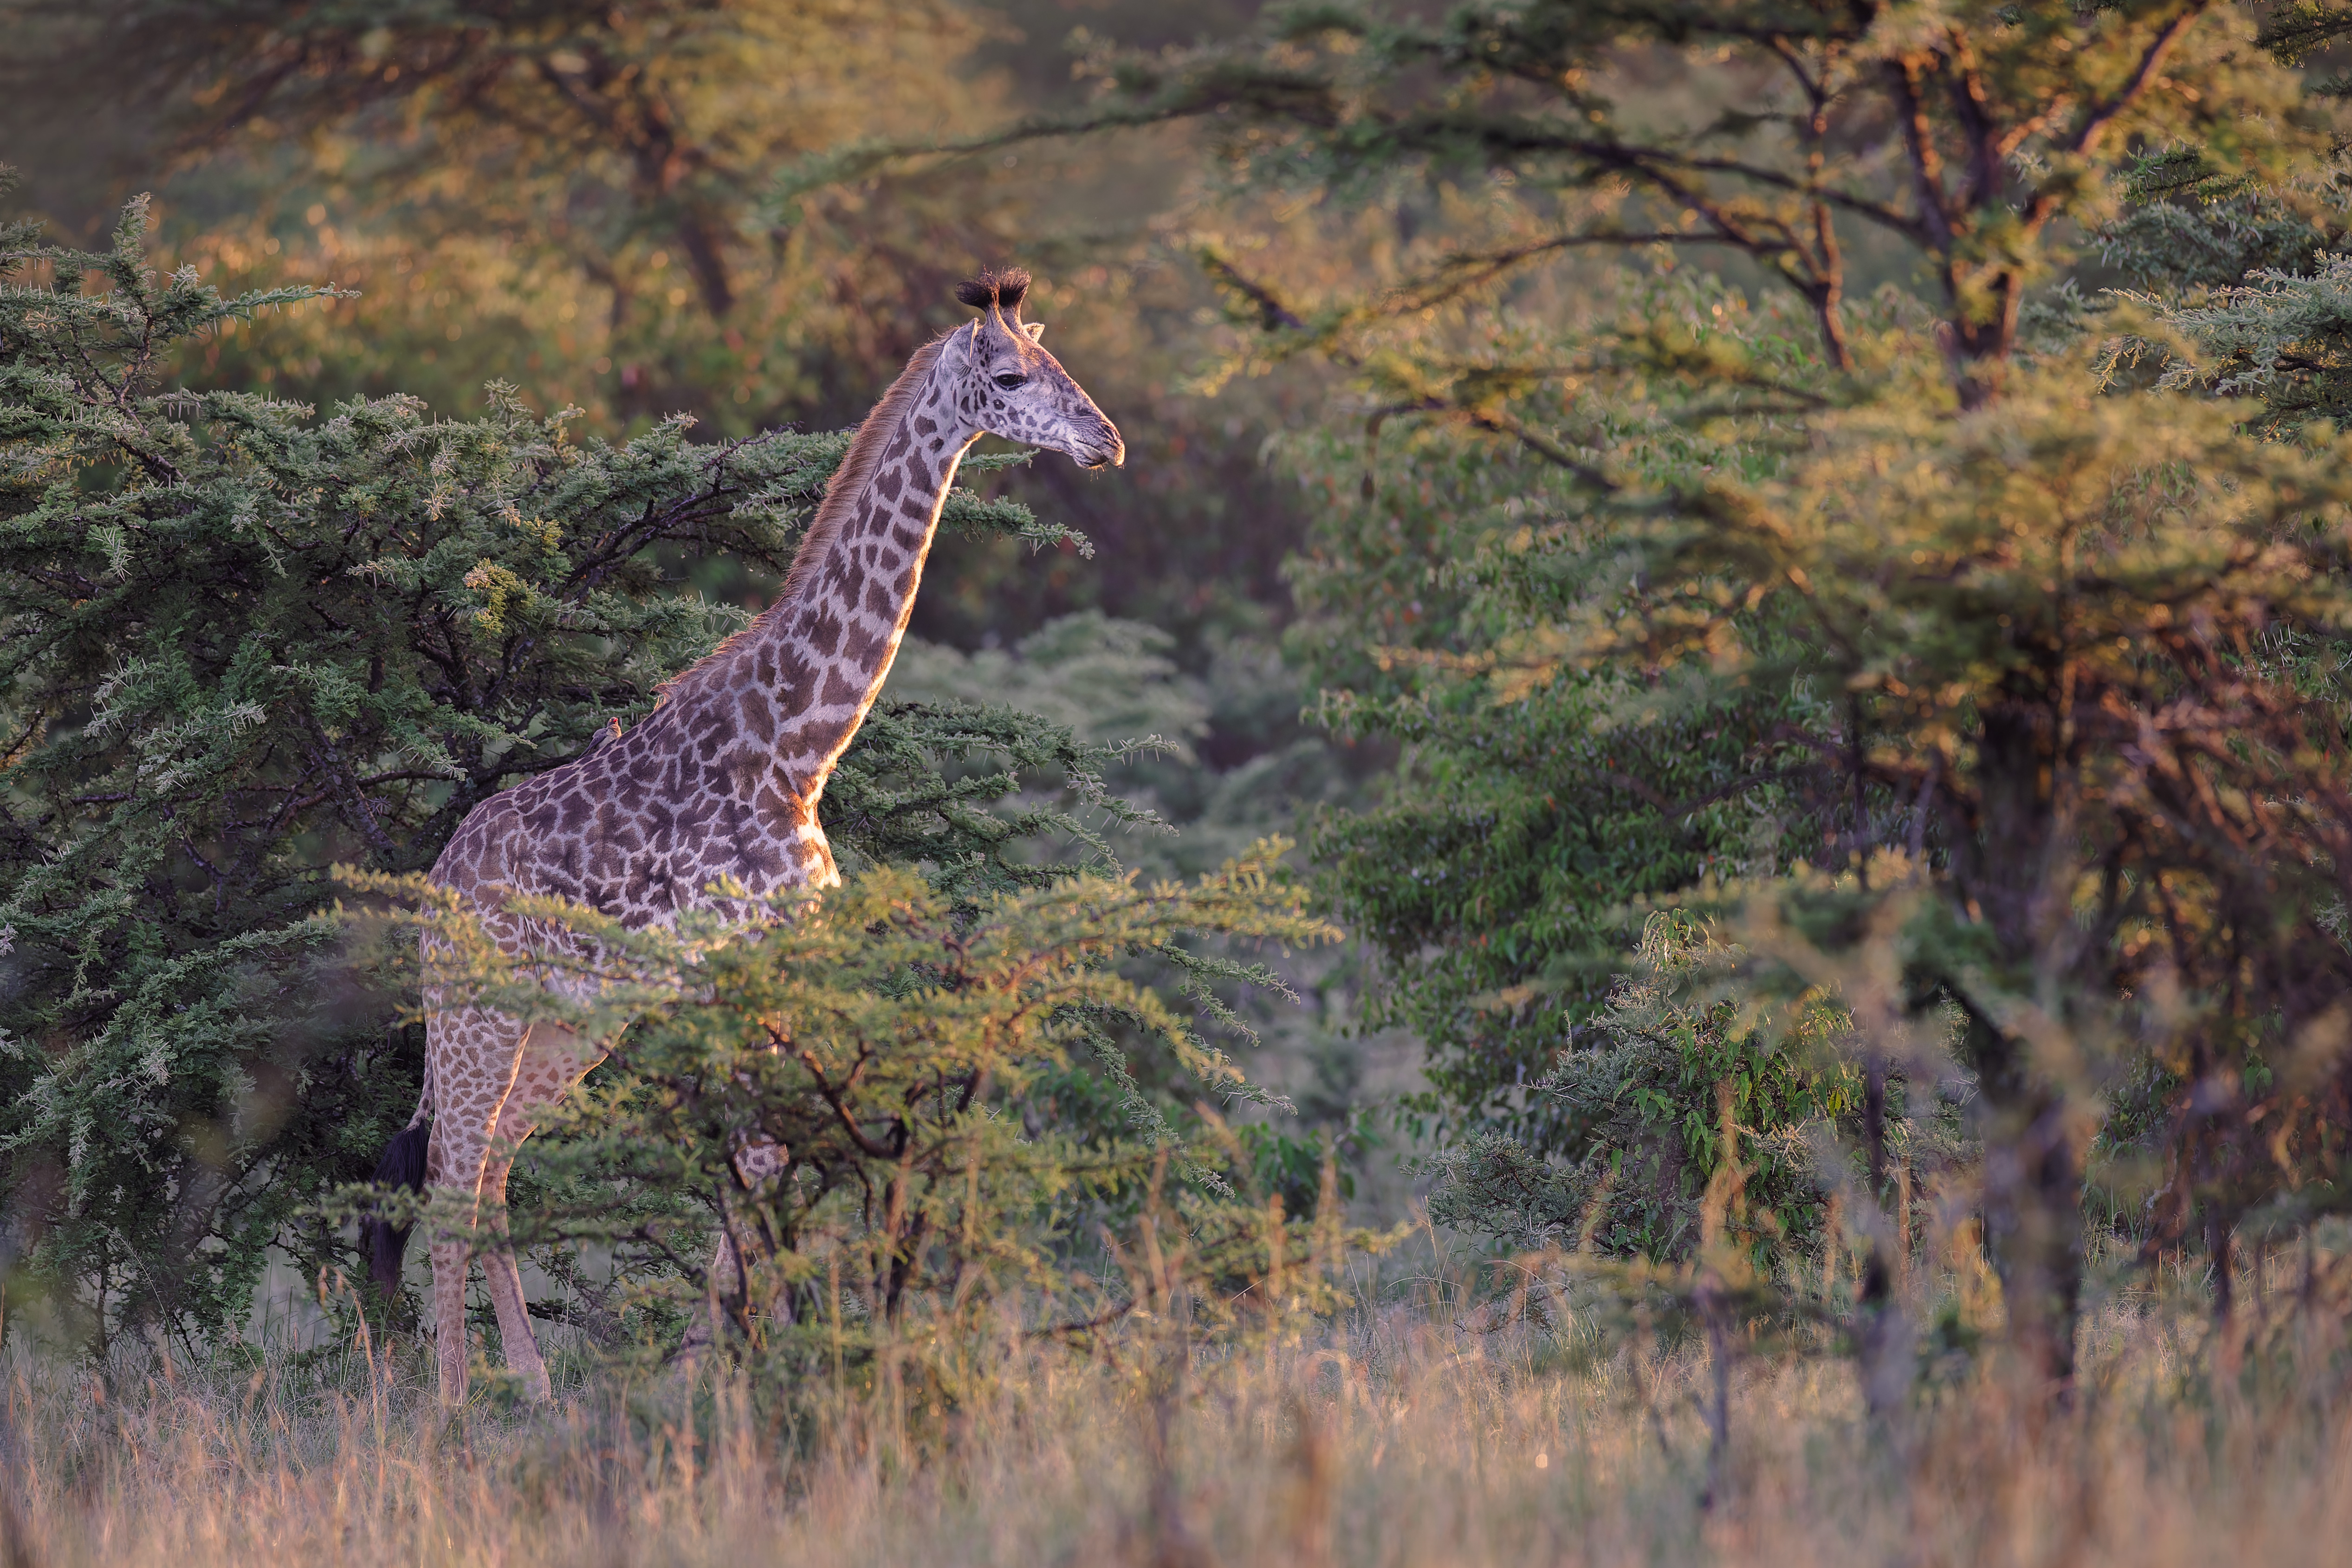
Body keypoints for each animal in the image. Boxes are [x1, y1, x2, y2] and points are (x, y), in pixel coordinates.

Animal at [362, 269, 1123, 1405]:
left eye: (1058, 361)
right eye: (1008, 378)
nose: (1104, 441)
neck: (798, 748)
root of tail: (439, 879)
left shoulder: (775, 967)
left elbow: (763, 1168)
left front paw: (738, 1364)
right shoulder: (734, 964)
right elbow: (757, 1164)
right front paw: (722, 1375)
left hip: (572, 1020)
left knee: (494, 1168)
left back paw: (534, 1386)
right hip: (474, 1011)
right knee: (451, 1177)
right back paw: (451, 1404)